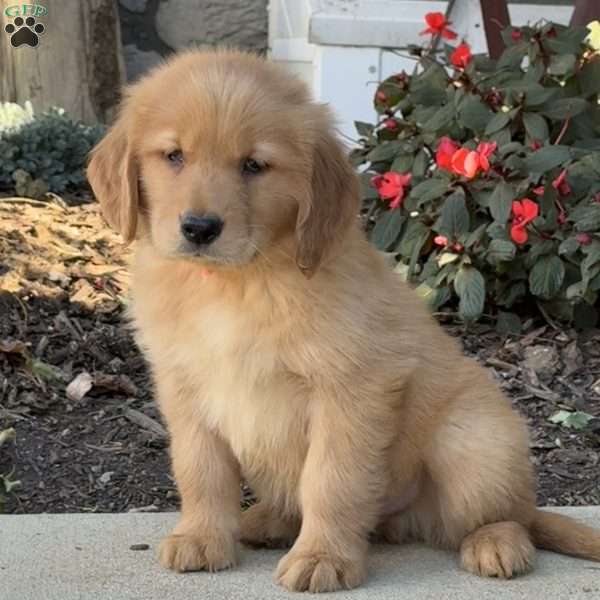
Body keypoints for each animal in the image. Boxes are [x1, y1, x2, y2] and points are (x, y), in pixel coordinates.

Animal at [89, 50, 600, 592]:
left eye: (255, 165)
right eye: (173, 156)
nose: (200, 228)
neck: (237, 282)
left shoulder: (353, 389)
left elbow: (331, 480)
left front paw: (323, 556)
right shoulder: (184, 388)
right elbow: (200, 470)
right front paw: (202, 537)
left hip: (471, 442)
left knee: (511, 515)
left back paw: (496, 542)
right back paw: (267, 520)